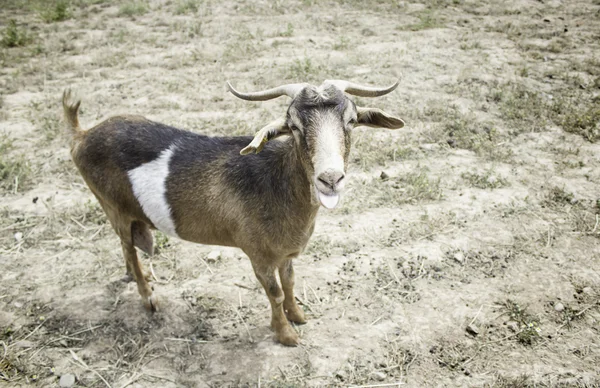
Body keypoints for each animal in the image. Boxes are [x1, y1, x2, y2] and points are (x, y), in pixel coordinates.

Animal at [62, 79, 404, 346]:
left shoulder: (285, 254)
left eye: (352, 120)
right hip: (111, 205)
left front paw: (299, 316)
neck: (275, 181)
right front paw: (286, 335)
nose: (330, 178)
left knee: (127, 244)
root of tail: (81, 134)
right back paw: (148, 297)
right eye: (293, 126)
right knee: (127, 244)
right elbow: (275, 293)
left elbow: (290, 283)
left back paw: (139, 276)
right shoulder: (258, 255)